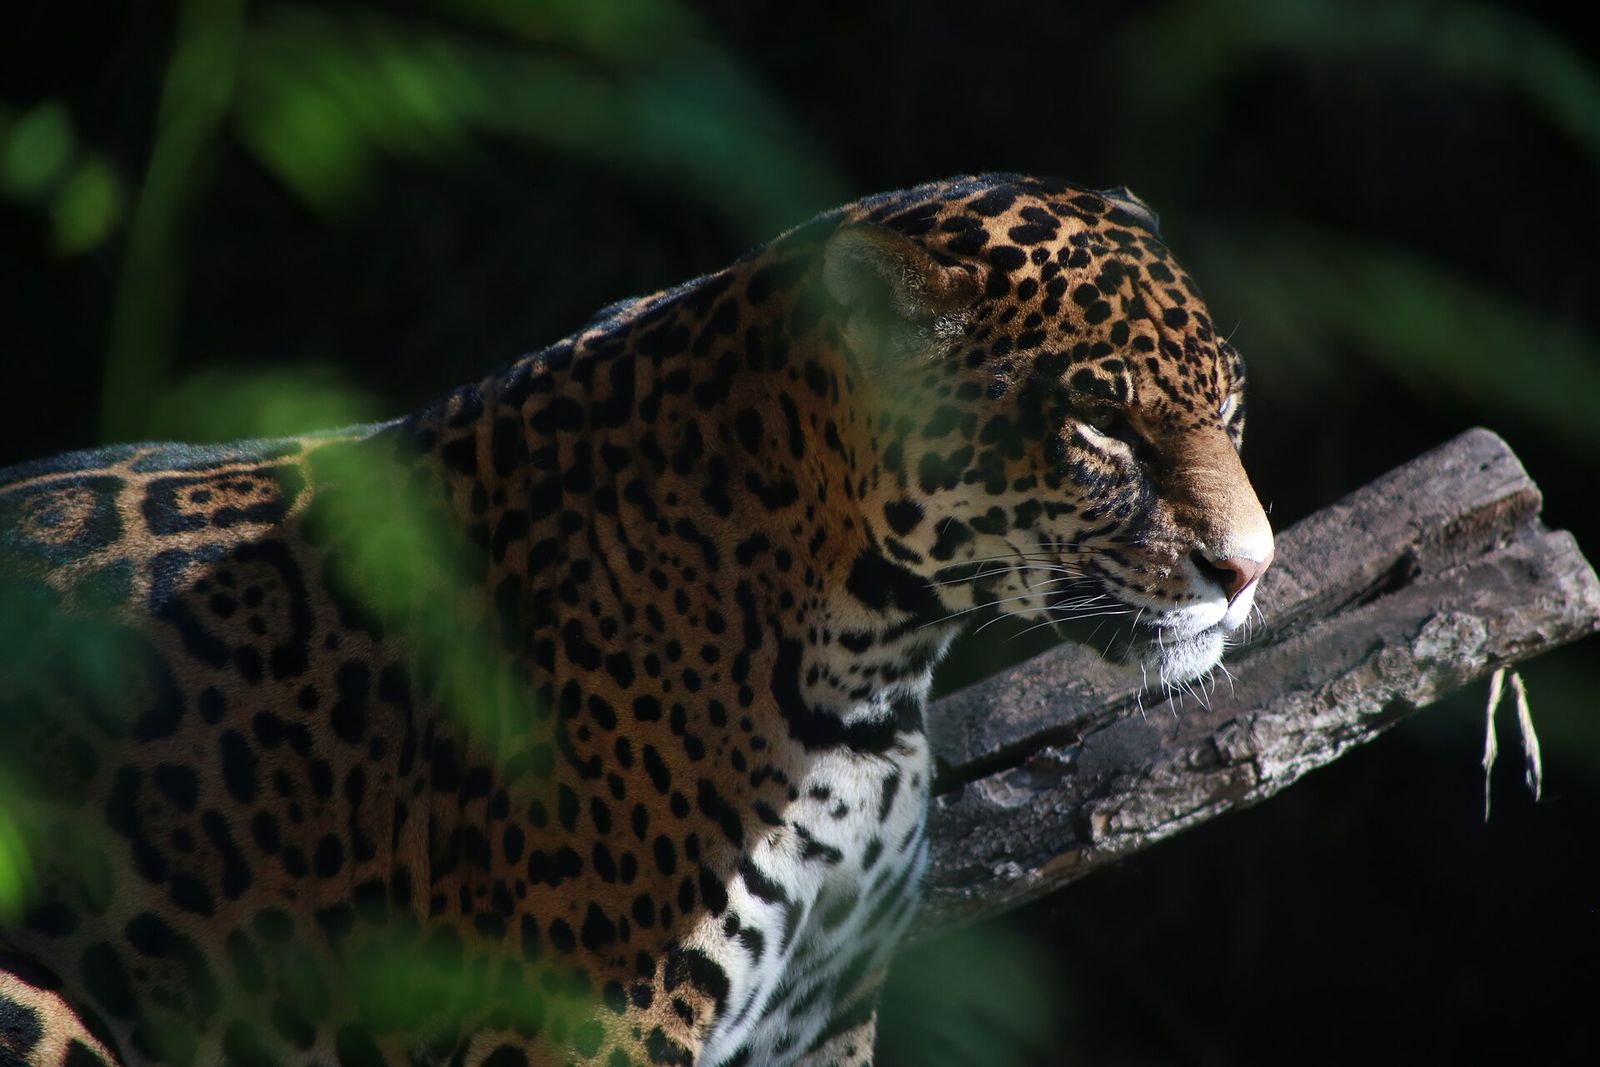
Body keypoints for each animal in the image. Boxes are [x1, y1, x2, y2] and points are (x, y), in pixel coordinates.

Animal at [0, 173, 1273, 1067]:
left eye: (1230, 405)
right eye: (1099, 426)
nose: (1248, 566)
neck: (867, 668)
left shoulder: (823, 1017)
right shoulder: (582, 1025)